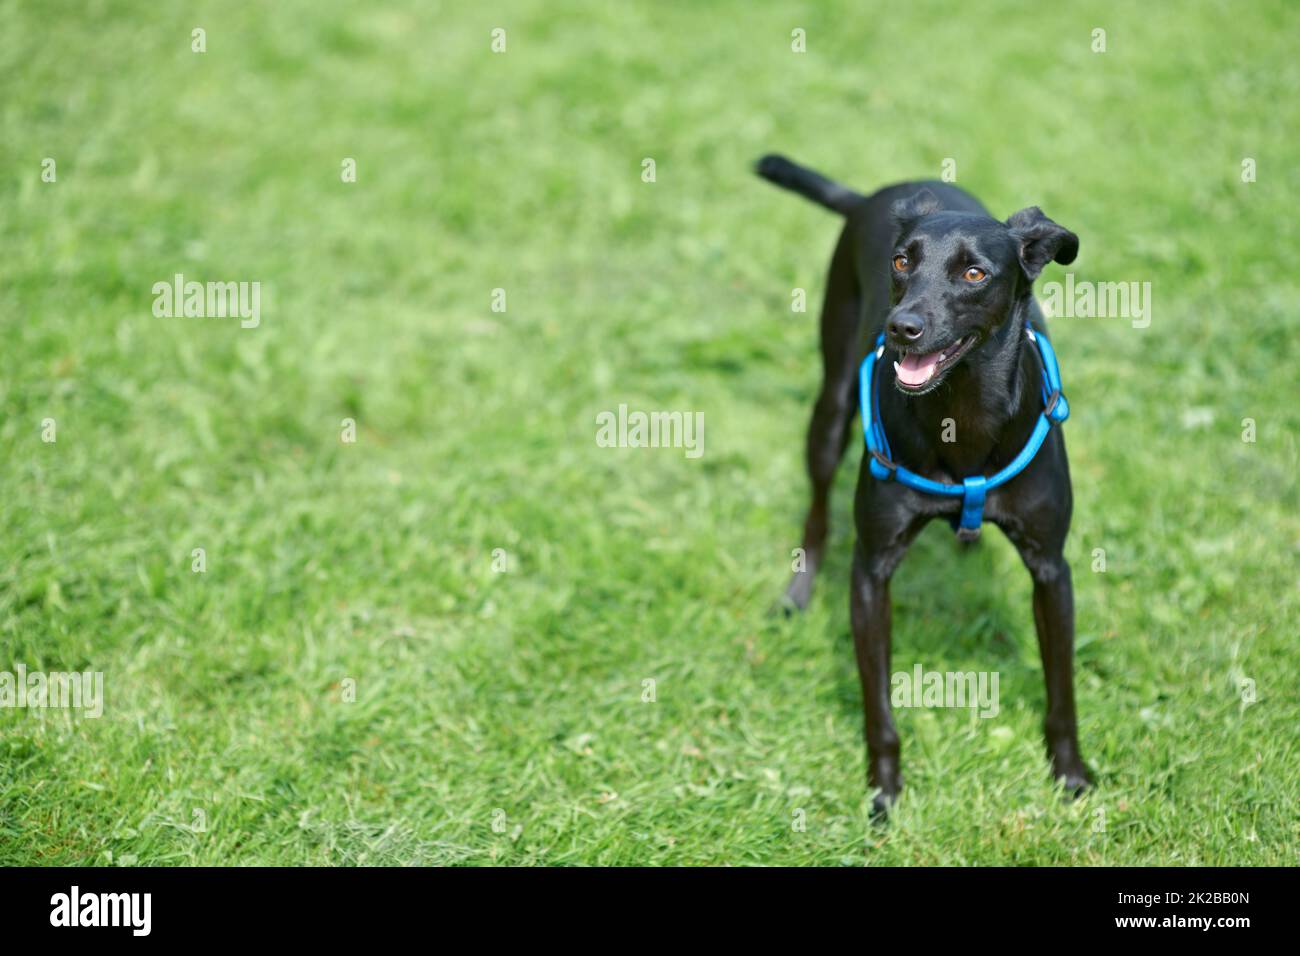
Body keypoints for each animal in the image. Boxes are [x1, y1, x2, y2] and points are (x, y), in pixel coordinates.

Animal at [759, 155, 1092, 816]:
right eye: (901, 262)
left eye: (973, 272)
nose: (901, 327)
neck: (961, 418)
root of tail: (875, 194)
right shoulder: (871, 571)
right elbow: (878, 705)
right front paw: (883, 789)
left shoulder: (1052, 569)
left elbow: (1061, 689)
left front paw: (1070, 773)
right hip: (830, 408)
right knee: (816, 512)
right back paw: (798, 591)